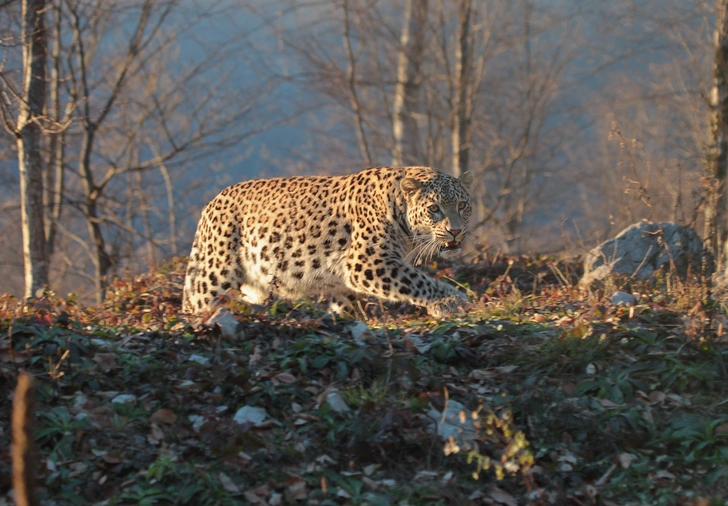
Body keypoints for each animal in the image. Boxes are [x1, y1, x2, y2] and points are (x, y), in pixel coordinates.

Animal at [182, 166, 474, 316]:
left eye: (462, 205)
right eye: (434, 209)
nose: (455, 232)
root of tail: (211, 203)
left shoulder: (351, 277)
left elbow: (345, 302)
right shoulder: (367, 262)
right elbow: (418, 281)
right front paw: (453, 302)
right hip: (214, 274)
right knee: (196, 302)